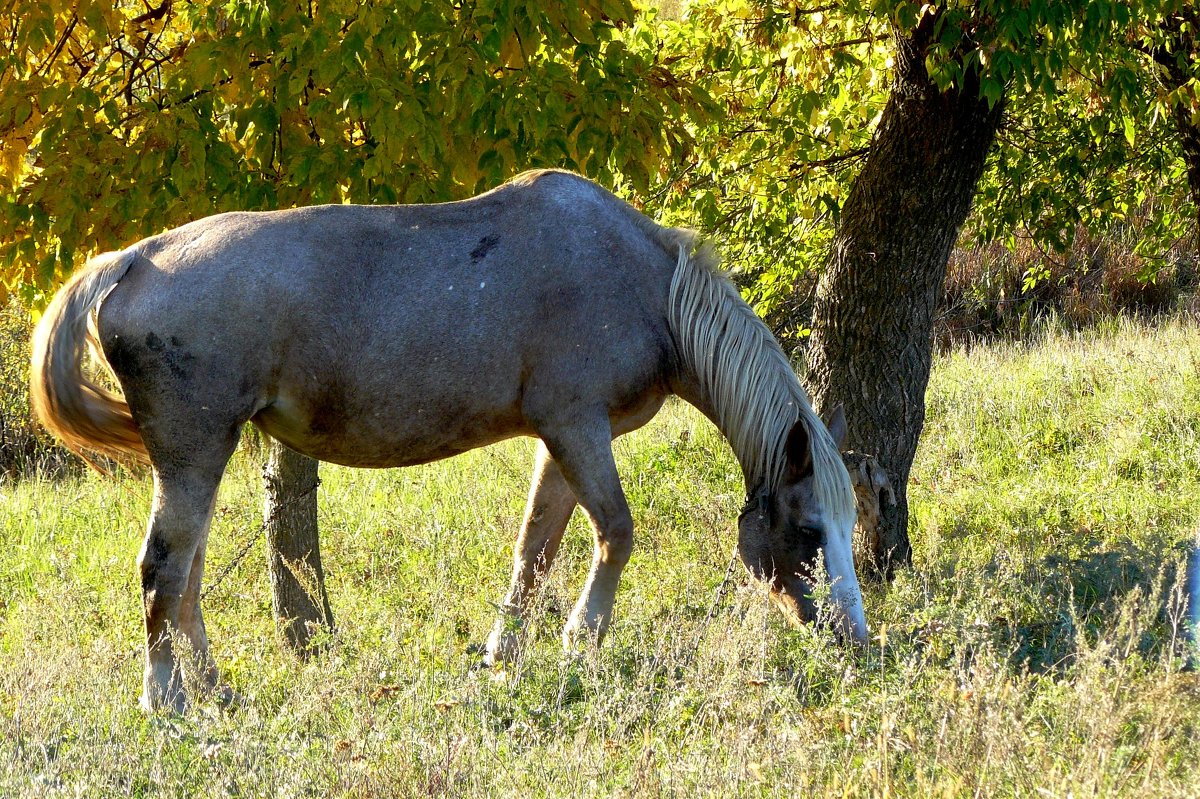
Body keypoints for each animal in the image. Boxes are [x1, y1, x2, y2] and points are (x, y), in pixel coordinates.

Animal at [32, 169, 868, 710]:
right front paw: (582, 642)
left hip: (204, 455)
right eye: (806, 529)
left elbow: (534, 550)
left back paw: (214, 688)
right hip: (192, 452)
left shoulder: (559, 440)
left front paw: (505, 658)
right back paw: (167, 699)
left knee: (189, 576)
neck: (643, 284)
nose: (856, 642)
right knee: (162, 570)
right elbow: (617, 533)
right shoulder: (579, 427)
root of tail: (132, 260)